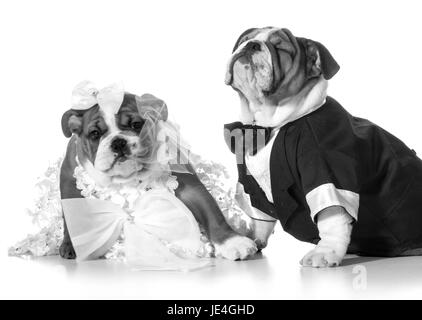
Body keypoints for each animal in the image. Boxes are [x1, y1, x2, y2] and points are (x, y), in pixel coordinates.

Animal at [59, 87, 258, 260]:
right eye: (94, 133)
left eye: (136, 124)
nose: (118, 142)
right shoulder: (69, 180)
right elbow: (72, 217)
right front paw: (72, 245)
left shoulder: (190, 187)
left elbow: (211, 211)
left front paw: (233, 242)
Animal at [226, 27, 422, 268]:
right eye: (244, 40)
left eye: (280, 48)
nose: (251, 45)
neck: (269, 126)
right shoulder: (252, 186)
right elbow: (262, 218)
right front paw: (251, 241)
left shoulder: (324, 165)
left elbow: (332, 216)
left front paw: (325, 251)